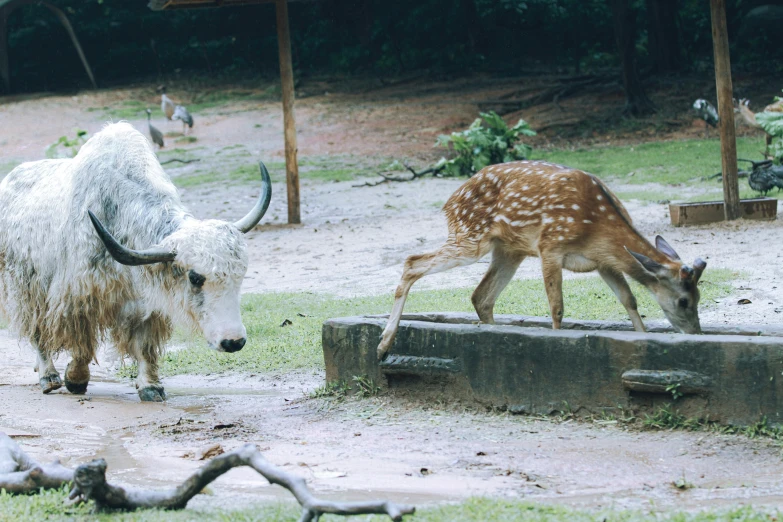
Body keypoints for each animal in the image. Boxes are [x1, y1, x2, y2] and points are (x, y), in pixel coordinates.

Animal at [380, 160, 712, 358]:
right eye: (684, 300)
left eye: (699, 296)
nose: (696, 334)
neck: (596, 227)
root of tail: (449, 202)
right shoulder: (550, 245)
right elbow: (557, 308)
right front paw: (556, 342)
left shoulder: (603, 261)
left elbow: (629, 299)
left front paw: (643, 340)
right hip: (470, 237)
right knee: (412, 261)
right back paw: (384, 345)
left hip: (508, 249)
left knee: (481, 297)